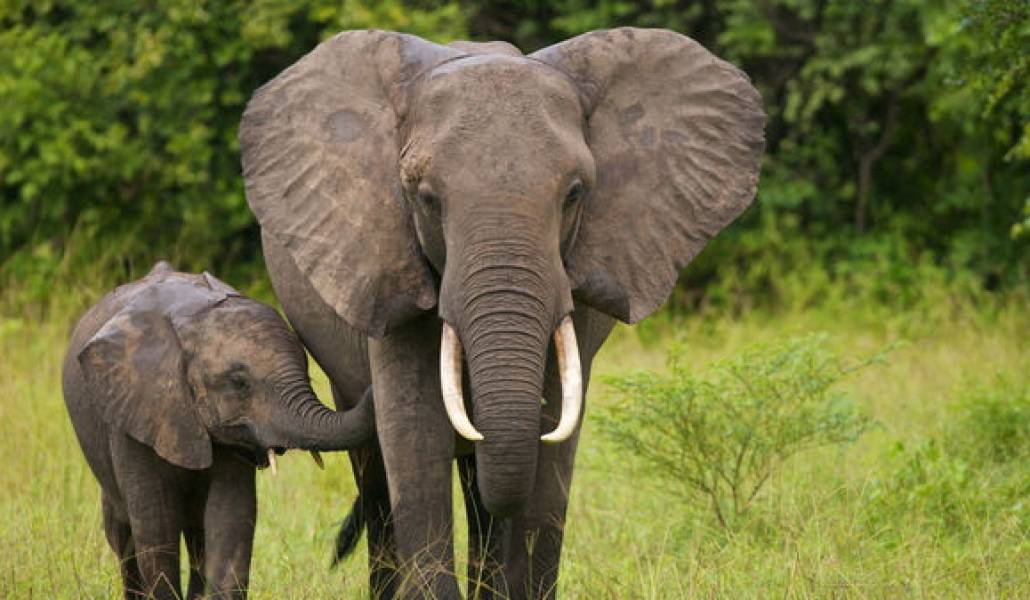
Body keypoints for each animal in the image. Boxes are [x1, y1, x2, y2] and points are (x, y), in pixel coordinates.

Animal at [62, 261, 375, 599]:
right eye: (239, 383)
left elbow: (230, 518)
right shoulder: (135, 413)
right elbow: (156, 524)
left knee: (197, 535)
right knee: (122, 533)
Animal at [239, 27, 764, 599]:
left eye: (574, 194)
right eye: (426, 198)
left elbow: (553, 440)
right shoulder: (386, 258)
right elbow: (415, 435)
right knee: (379, 476)